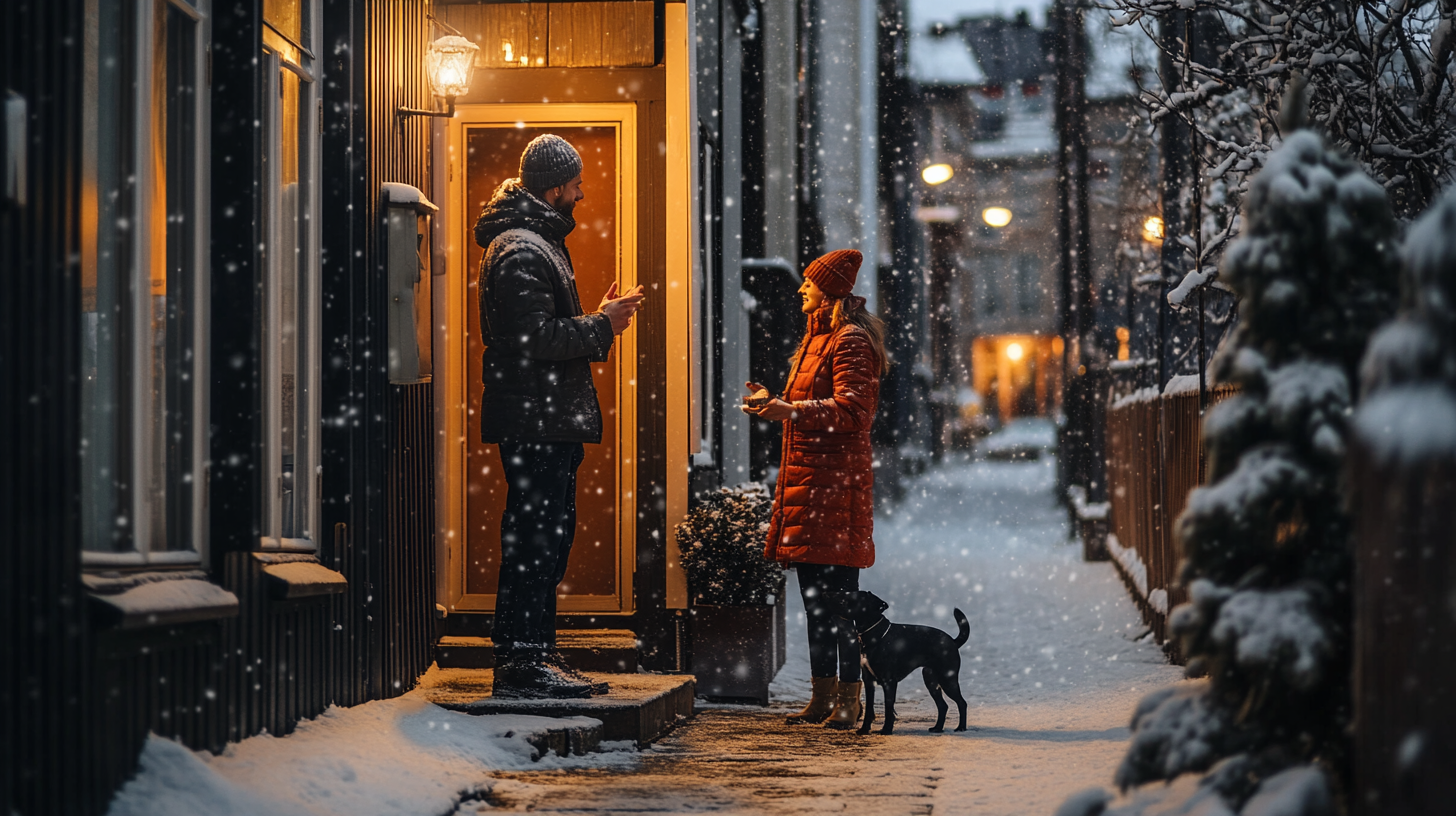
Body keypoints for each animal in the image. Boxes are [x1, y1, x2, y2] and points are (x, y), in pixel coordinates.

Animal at [844, 588, 966, 737]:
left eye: (855, 598)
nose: (839, 597)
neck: (875, 635)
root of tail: (953, 641)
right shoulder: (868, 680)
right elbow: (869, 709)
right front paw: (864, 729)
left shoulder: (889, 681)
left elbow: (888, 707)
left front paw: (886, 730)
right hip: (931, 680)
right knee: (943, 706)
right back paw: (937, 728)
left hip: (947, 679)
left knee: (961, 703)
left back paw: (961, 727)